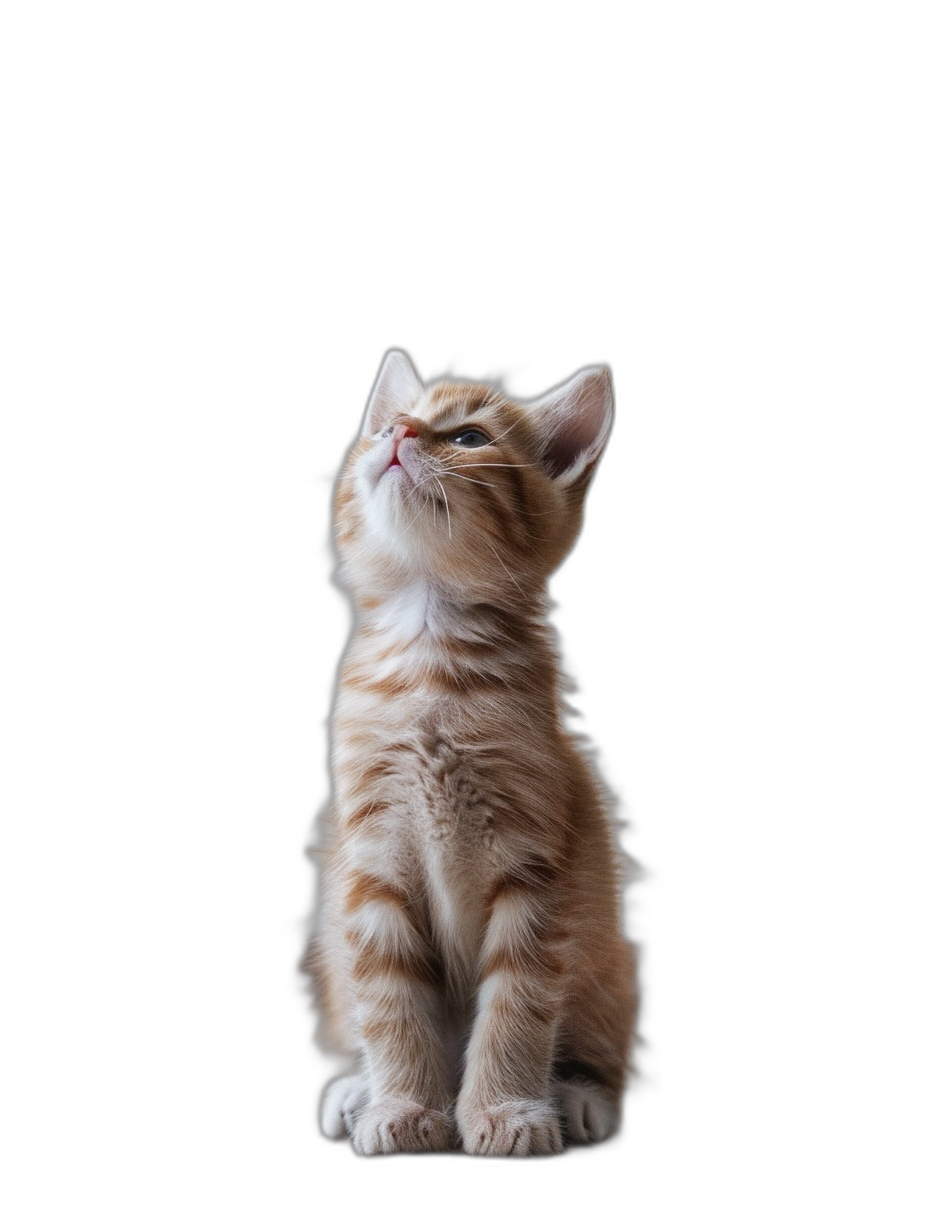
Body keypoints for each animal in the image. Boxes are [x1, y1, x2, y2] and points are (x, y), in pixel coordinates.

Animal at [304, 349, 635, 1153]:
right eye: (388, 423)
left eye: (470, 437)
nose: (397, 432)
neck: (430, 665)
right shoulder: (371, 862)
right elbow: (390, 998)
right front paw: (403, 1107)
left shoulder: (538, 867)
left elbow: (517, 1002)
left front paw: (506, 1111)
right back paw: (359, 1090)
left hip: (607, 961)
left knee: (598, 1038)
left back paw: (578, 1095)